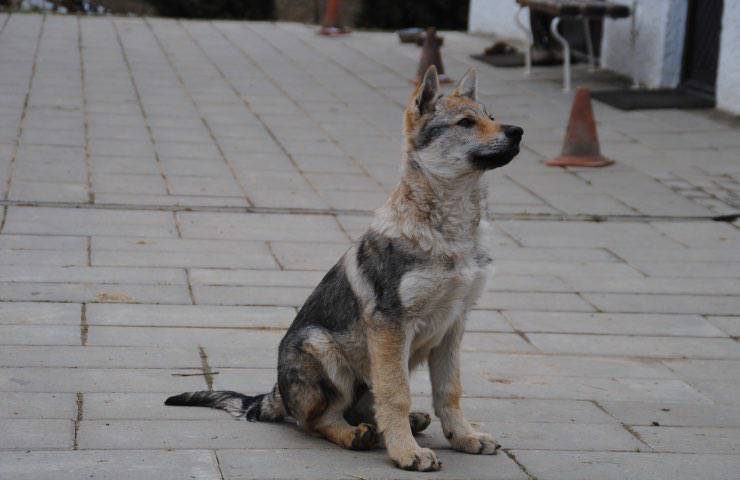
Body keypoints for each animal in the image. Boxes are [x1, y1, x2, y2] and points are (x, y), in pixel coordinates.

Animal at [165, 65, 524, 470]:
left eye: (491, 117)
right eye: (466, 123)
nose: (518, 131)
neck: (453, 231)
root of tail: (275, 393)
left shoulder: (454, 324)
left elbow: (449, 391)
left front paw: (464, 437)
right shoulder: (391, 325)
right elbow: (396, 395)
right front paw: (407, 453)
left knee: (362, 409)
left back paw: (406, 422)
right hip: (323, 350)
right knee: (317, 420)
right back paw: (359, 435)